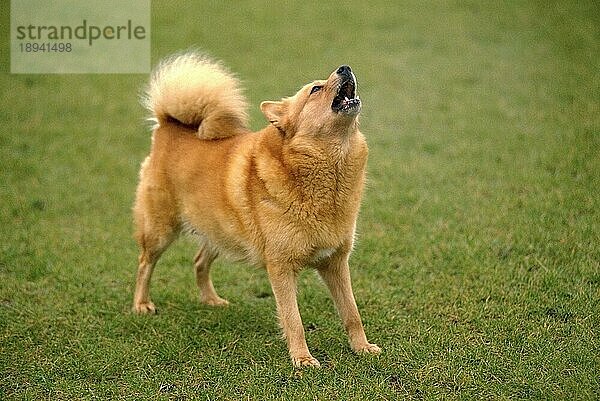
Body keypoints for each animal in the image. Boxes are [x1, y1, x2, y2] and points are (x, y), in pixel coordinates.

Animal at [134, 52, 382, 366]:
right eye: (315, 89)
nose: (345, 68)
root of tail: (169, 125)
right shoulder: (281, 268)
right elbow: (294, 320)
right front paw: (302, 359)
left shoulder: (336, 263)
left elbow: (352, 313)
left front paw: (362, 347)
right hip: (161, 231)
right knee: (145, 264)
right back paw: (142, 304)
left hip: (220, 232)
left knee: (199, 262)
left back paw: (211, 300)